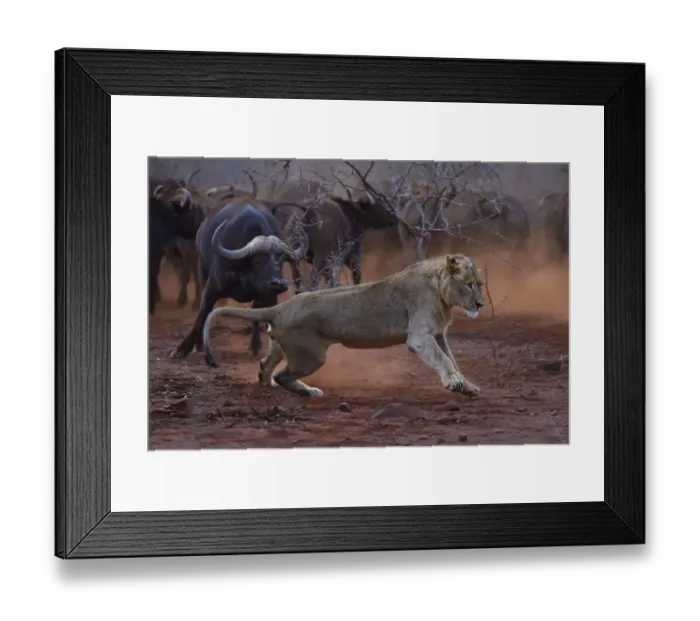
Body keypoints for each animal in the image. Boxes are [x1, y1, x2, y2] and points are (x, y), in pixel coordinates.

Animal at [202, 254, 486, 398]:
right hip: (312, 356)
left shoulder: (438, 335)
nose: (481, 304)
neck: (442, 294)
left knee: (265, 367)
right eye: (469, 284)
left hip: (281, 345)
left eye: (480, 284)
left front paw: (466, 385)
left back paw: (269, 386)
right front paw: (454, 384)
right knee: (283, 375)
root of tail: (282, 307)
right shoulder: (420, 335)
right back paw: (309, 391)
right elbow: (444, 359)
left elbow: (451, 359)